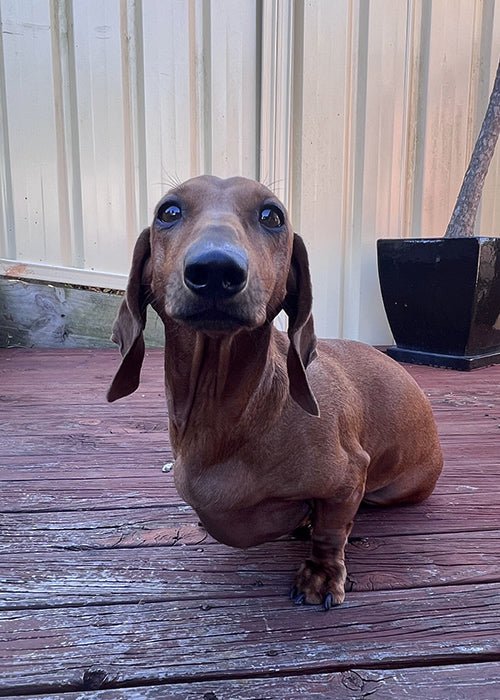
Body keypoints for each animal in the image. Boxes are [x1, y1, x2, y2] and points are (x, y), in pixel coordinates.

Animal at [107, 175, 444, 608]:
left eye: (272, 215)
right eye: (169, 211)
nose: (215, 269)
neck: (231, 415)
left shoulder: (350, 475)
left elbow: (331, 530)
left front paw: (320, 576)